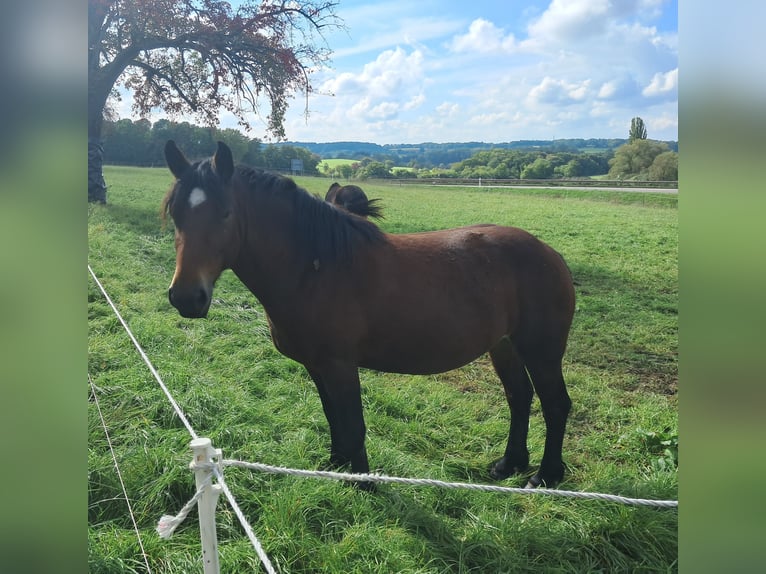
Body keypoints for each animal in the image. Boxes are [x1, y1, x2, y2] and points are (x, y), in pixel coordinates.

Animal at [163, 140, 576, 489]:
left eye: (225, 212)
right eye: (176, 214)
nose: (186, 297)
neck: (315, 267)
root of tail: (549, 253)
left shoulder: (341, 365)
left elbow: (353, 425)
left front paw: (362, 482)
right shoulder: (317, 366)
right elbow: (333, 417)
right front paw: (336, 468)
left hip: (541, 350)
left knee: (555, 404)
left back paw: (545, 476)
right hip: (504, 346)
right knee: (519, 396)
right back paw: (510, 463)